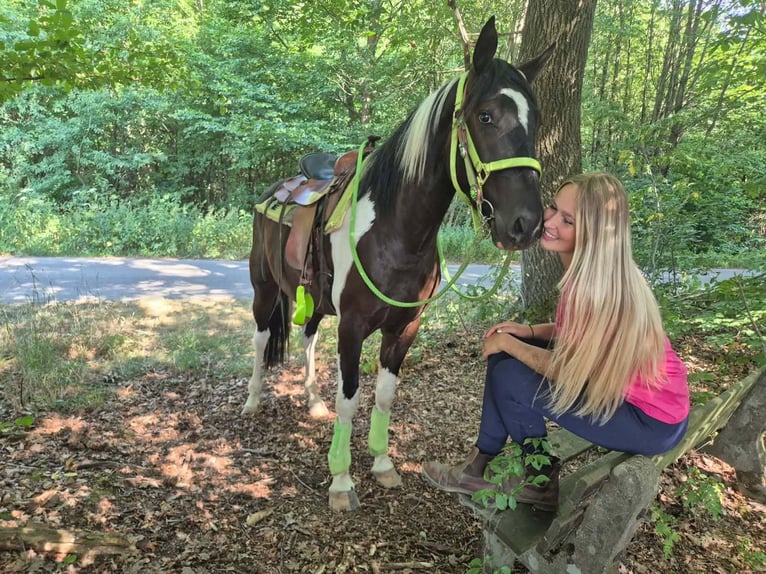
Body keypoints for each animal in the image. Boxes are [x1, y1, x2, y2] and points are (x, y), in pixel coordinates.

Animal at [243, 16, 551, 511]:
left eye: (535, 119)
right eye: (485, 116)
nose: (526, 224)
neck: (396, 232)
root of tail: (277, 189)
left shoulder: (405, 327)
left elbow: (386, 395)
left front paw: (383, 464)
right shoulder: (352, 326)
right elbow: (350, 397)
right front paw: (341, 481)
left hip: (313, 300)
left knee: (307, 338)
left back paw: (312, 401)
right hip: (264, 288)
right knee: (258, 339)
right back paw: (252, 401)